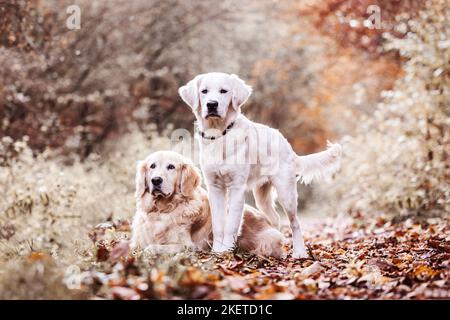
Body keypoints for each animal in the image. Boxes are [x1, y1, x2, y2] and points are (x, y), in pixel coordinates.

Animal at [179, 72, 342, 258]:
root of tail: (285, 143)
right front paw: (217, 251)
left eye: (224, 91)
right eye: (204, 91)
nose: (212, 104)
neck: (220, 134)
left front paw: (227, 249)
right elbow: (219, 224)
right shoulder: (215, 187)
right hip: (261, 196)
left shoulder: (237, 187)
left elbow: (231, 224)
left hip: (286, 192)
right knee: (275, 219)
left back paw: (299, 252)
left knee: (295, 222)